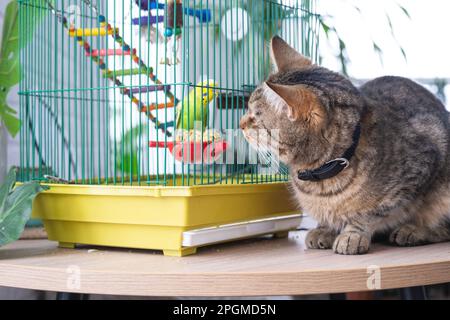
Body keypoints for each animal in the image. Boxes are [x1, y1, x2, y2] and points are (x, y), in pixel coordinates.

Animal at [241, 35, 450, 255]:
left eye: (254, 118)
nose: (240, 124)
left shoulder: (420, 165)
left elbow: (370, 212)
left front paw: (352, 235)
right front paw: (325, 229)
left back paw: (413, 231)